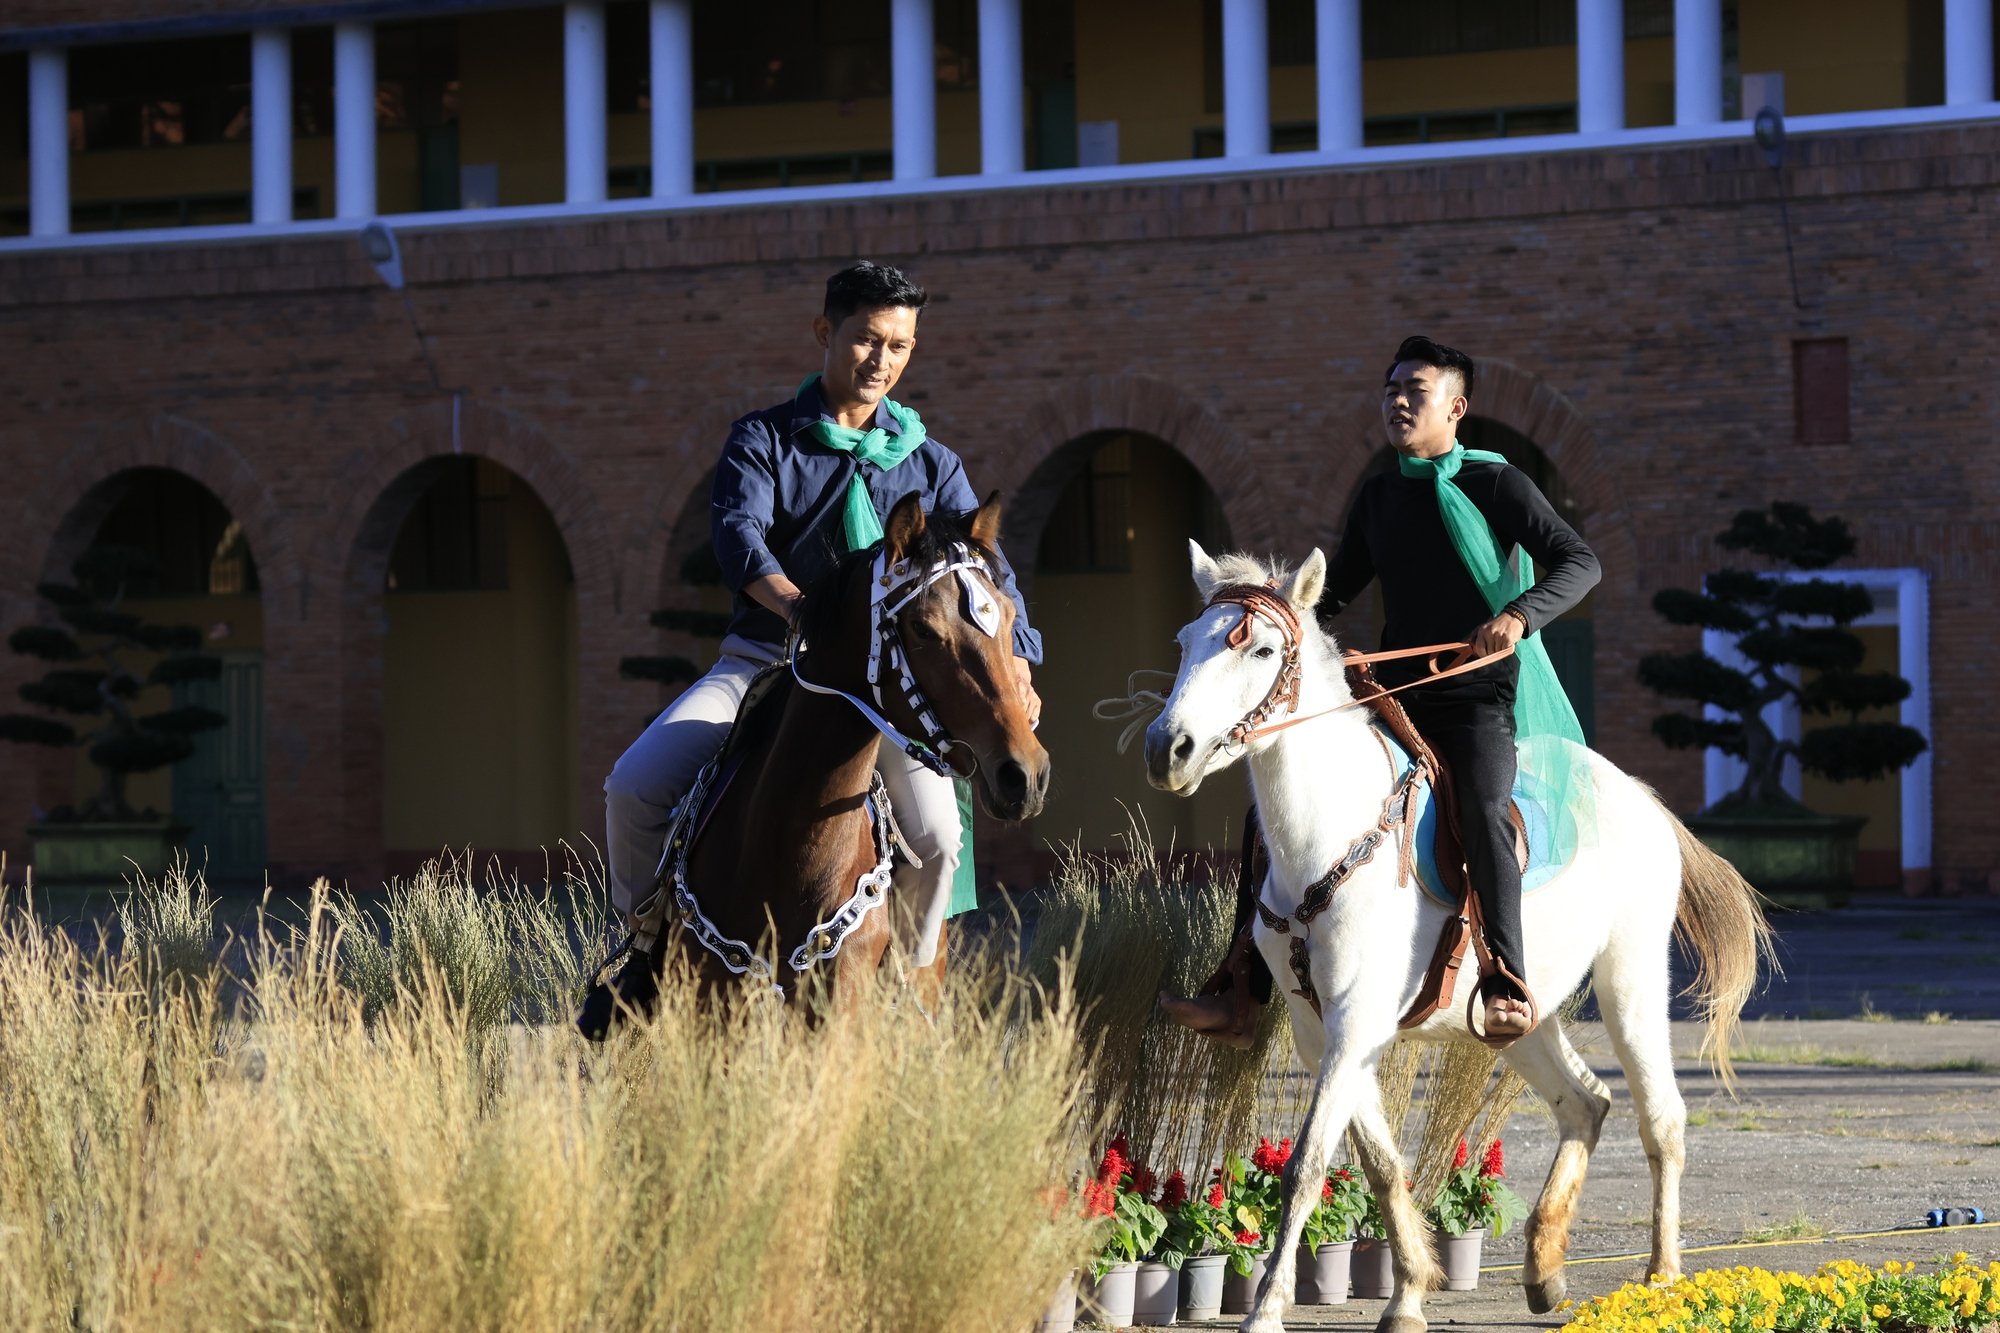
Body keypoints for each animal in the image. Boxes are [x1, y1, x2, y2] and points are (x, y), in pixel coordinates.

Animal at [1144, 540, 1768, 1328]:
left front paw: (1267, 1307)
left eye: (1260, 649)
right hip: (1522, 1011)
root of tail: (1641, 797)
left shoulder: (1355, 1020)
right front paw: (1409, 1289)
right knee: (1584, 1103)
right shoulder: (1326, 1031)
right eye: (1184, 642)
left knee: (1662, 1119)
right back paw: (1545, 1267)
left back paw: (1660, 1278)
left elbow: (1308, 1164)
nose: (1169, 748)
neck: (1332, 834)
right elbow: (1380, 1163)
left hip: (1631, 981)